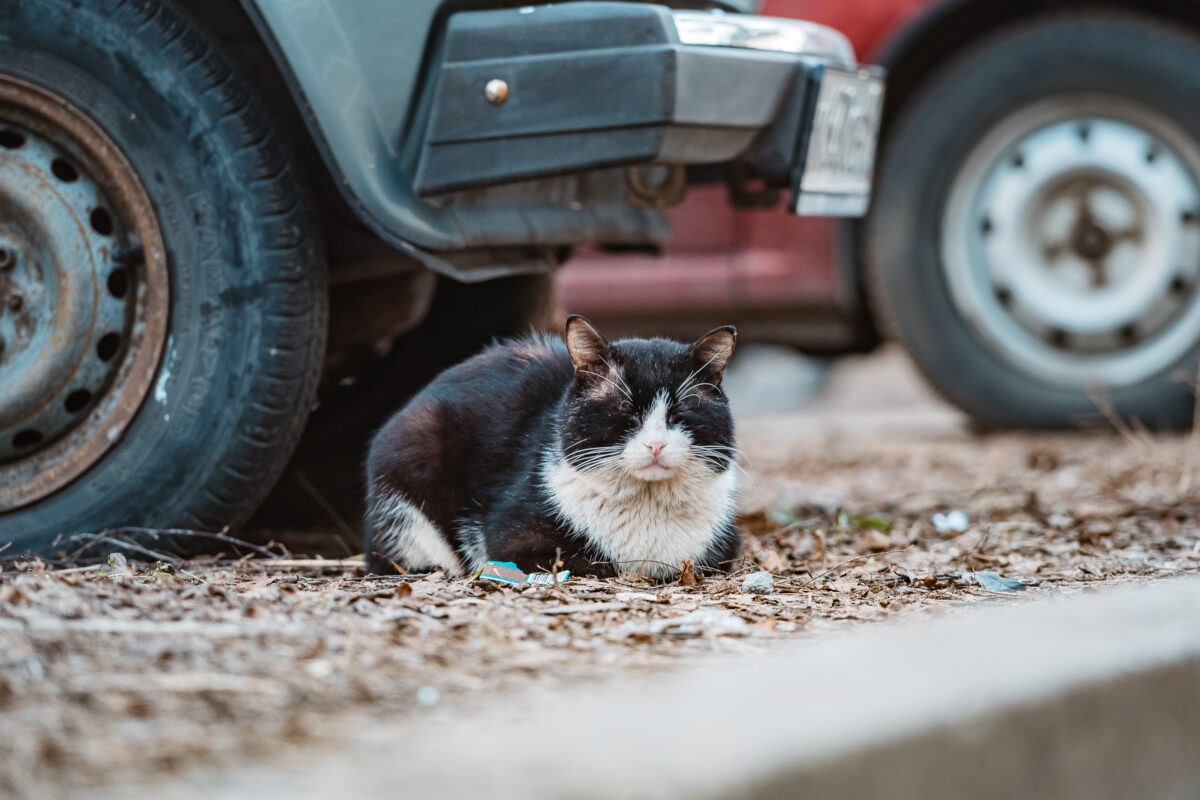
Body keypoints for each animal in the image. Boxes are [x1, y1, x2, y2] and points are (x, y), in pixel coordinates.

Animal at [362, 314, 739, 582]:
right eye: (627, 411)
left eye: (678, 413)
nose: (656, 444)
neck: (647, 505)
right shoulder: (509, 537)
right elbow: (589, 561)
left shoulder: (725, 546)